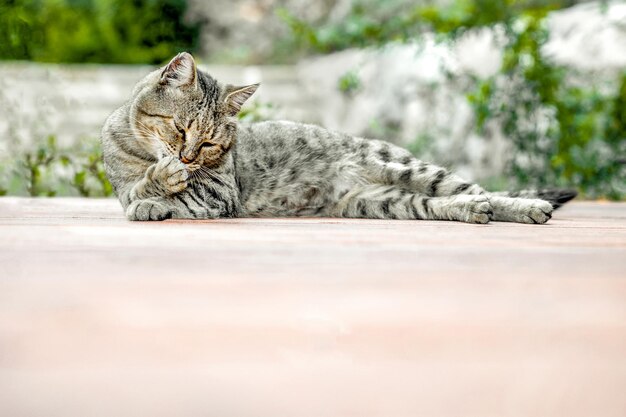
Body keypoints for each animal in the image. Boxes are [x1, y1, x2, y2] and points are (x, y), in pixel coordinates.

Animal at [100, 53, 572, 223]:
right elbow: (136, 190)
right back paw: (475, 212)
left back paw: (528, 208)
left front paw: (159, 189)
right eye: (180, 129)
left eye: (211, 144)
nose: (188, 157)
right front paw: (155, 189)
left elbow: (169, 191)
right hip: (381, 202)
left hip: (411, 169)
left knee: (480, 189)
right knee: (445, 204)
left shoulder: (219, 193)